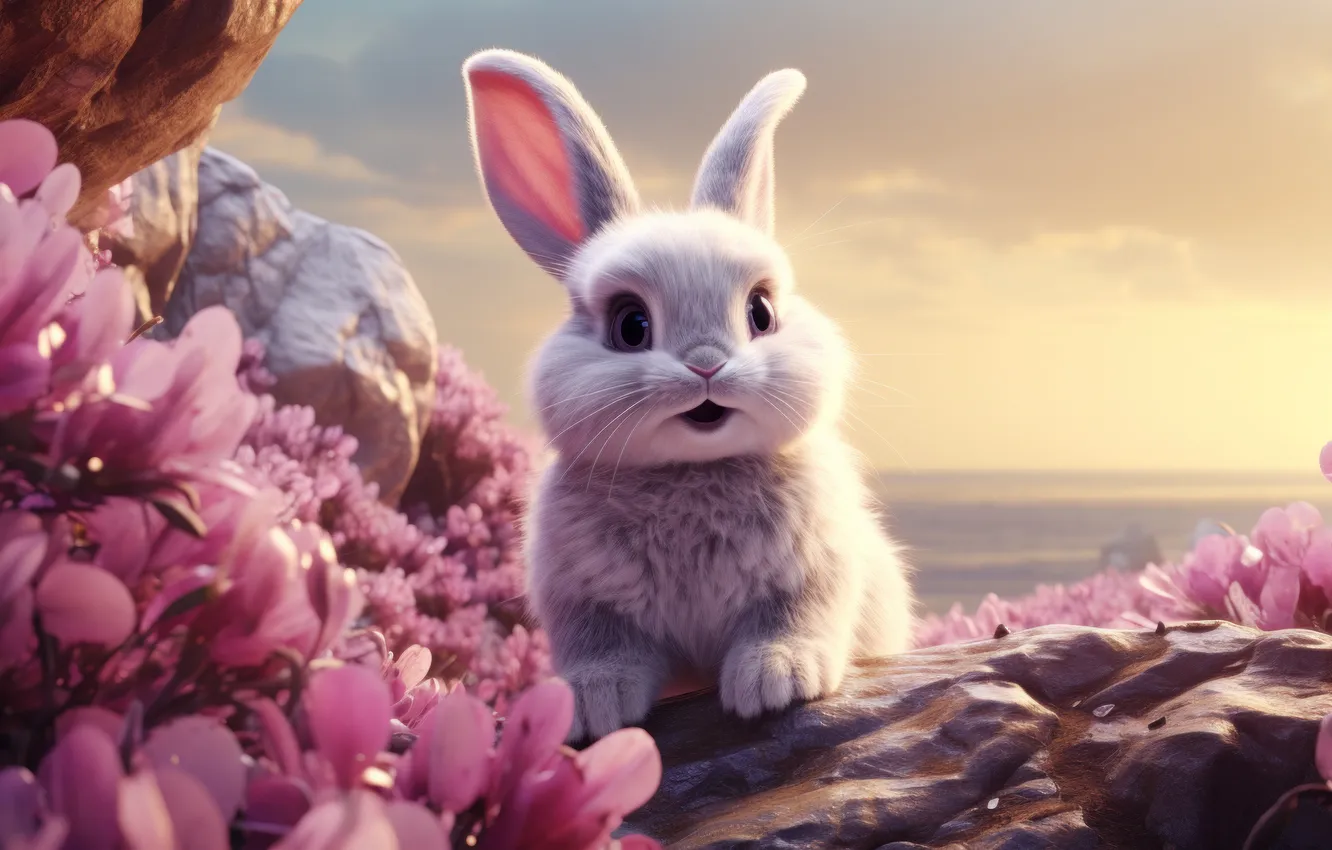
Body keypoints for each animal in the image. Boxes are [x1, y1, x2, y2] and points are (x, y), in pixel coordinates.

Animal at [462, 48, 916, 742]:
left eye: (761, 312)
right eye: (630, 325)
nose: (707, 365)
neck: (692, 472)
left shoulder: (812, 575)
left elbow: (788, 623)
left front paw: (775, 681)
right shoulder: (588, 604)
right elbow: (606, 653)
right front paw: (591, 705)